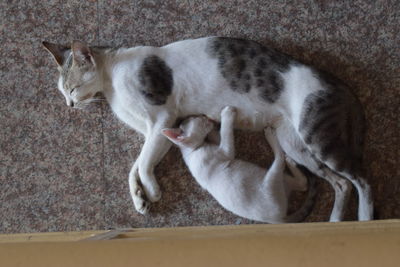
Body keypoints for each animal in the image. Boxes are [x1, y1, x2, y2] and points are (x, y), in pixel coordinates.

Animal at [160, 107, 316, 224]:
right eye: (198, 119)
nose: (204, 115)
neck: (192, 151)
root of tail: (280, 219)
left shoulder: (219, 146)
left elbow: (220, 135)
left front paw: (214, 128)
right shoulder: (225, 152)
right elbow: (226, 133)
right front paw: (226, 114)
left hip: (283, 179)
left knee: (303, 184)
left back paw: (291, 161)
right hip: (271, 180)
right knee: (279, 159)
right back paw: (272, 137)